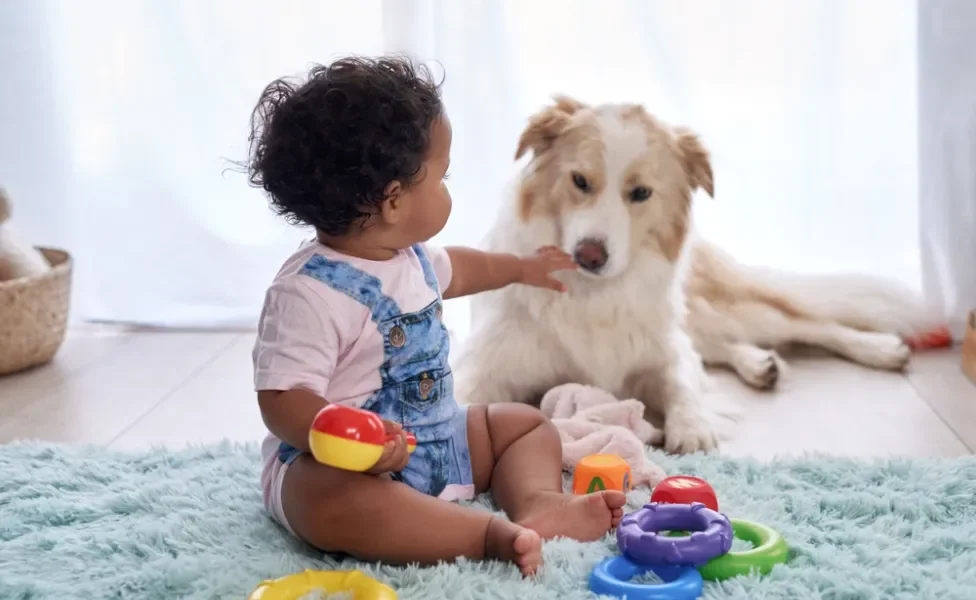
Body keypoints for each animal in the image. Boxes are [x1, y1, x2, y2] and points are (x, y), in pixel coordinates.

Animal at [454, 96, 940, 452]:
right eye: (579, 181)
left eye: (640, 193)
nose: (589, 255)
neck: (594, 294)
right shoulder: (486, 365)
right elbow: (462, 399)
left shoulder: (663, 351)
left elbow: (681, 381)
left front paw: (691, 428)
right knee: (722, 344)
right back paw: (760, 365)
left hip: (721, 309)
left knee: (810, 324)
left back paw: (879, 349)